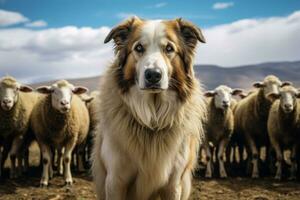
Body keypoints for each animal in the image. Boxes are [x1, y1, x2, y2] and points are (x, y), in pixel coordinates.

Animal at [92, 16, 206, 199]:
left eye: (169, 48)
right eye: (138, 48)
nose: (153, 75)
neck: (152, 120)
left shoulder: (173, 184)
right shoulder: (115, 181)